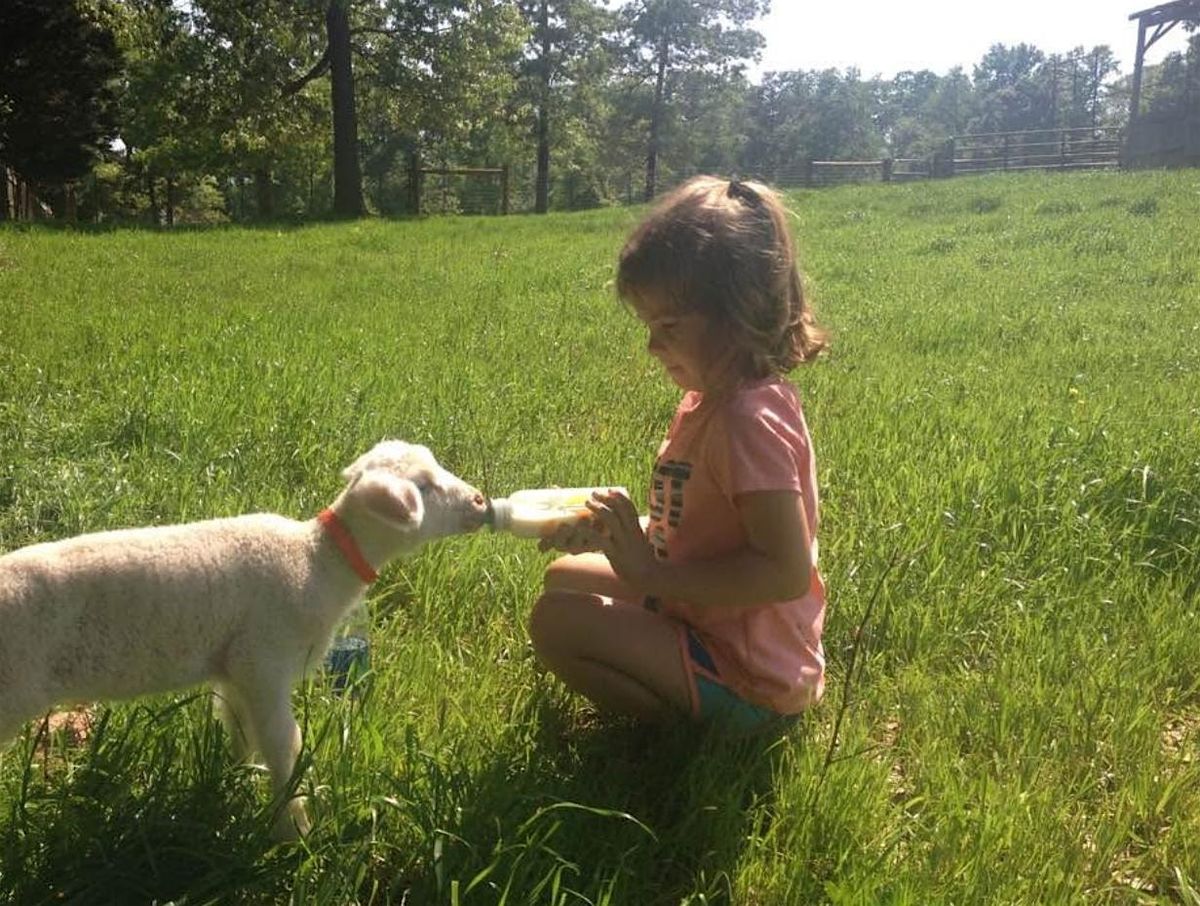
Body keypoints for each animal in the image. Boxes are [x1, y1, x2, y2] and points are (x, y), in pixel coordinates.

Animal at [0, 440, 488, 839]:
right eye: (423, 486)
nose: (480, 500)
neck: (319, 560)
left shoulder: (235, 668)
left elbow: (238, 728)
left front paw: (240, 780)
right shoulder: (265, 661)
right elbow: (284, 743)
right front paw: (294, 828)